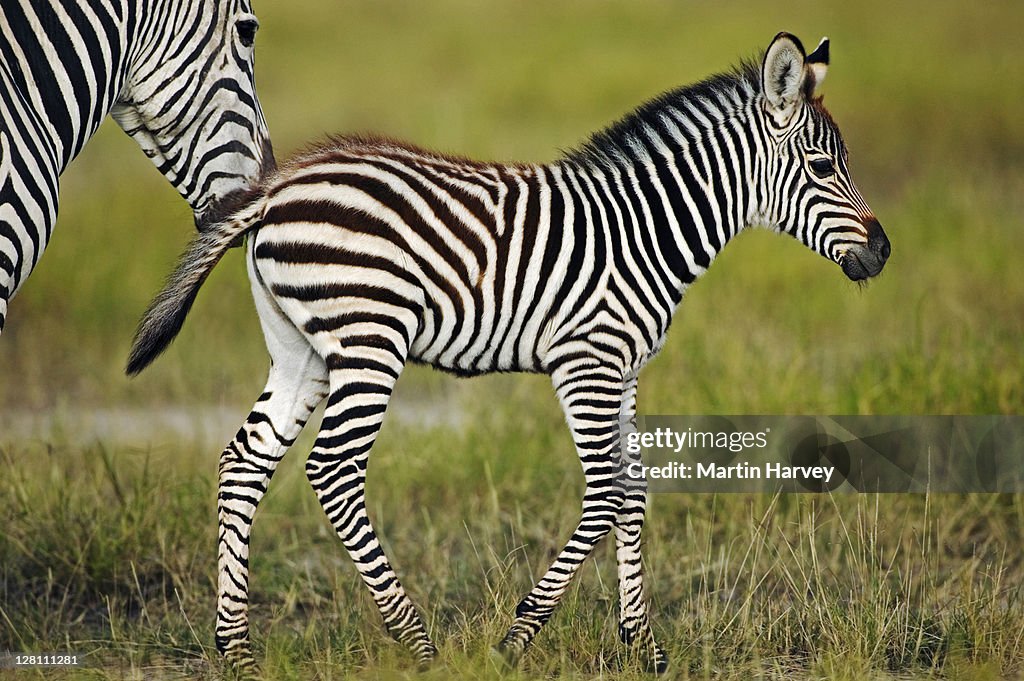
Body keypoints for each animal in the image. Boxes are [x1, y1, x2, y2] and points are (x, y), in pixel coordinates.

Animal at [125, 30, 888, 667]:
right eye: (823, 166)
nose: (882, 252)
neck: (646, 228)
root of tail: (276, 188)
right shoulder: (587, 361)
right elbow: (607, 491)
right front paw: (515, 637)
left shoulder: (625, 369)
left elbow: (635, 489)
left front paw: (644, 644)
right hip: (371, 338)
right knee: (334, 469)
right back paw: (419, 642)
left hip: (301, 349)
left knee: (244, 461)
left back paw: (236, 649)